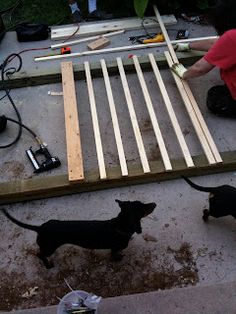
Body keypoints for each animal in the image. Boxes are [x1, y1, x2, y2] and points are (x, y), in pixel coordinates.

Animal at [2, 200, 157, 268]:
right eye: (143, 207)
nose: (154, 204)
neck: (118, 225)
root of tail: (40, 228)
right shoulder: (115, 248)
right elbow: (114, 254)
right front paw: (117, 258)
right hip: (49, 247)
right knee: (39, 254)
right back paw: (48, 265)